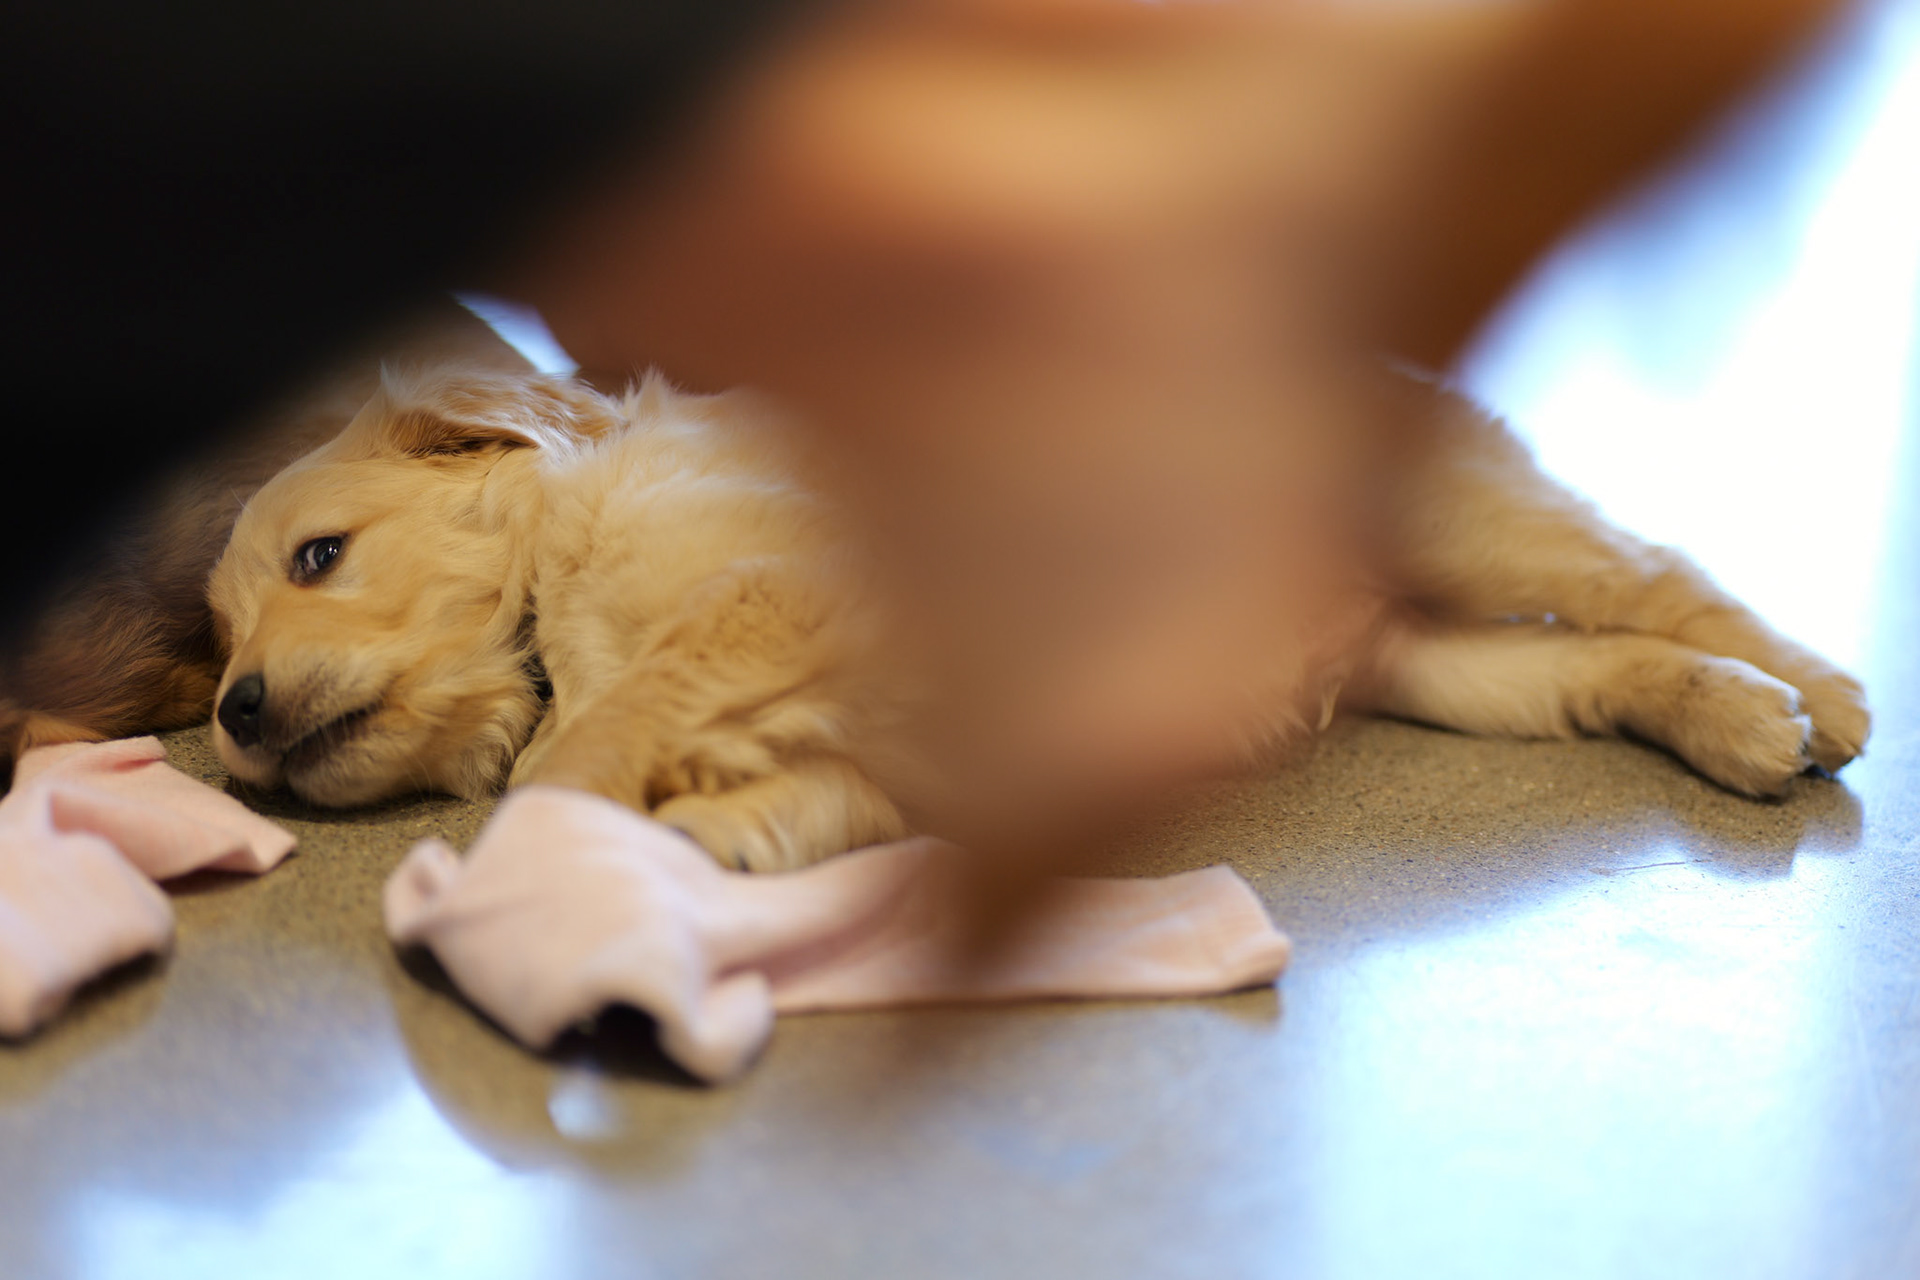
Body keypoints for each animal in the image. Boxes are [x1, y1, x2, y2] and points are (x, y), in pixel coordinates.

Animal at [205, 367, 1870, 871]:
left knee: (1657, 572)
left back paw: (1826, 695)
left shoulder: (805, 587)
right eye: (218, 643)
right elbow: (802, 795)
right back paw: (1740, 721)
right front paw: (711, 837)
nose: (229, 718)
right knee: (1597, 665)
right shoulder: (896, 762)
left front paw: (565, 818)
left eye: (320, 558)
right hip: (1435, 663)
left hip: (1457, 516)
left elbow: (618, 717)